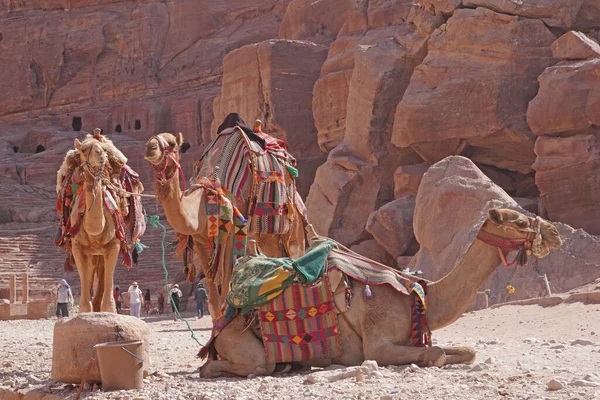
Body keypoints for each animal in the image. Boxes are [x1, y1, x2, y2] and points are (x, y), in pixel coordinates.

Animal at [199, 208, 564, 376]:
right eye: (519, 222)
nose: (555, 232)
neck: (417, 296)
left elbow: (466, 351)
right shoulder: (376, 344)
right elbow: (434, 354)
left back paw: (295, 365)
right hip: (241, 342)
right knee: (248, 365)